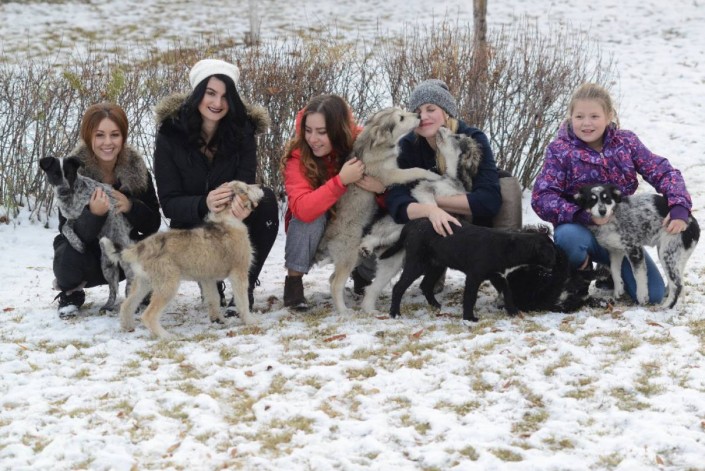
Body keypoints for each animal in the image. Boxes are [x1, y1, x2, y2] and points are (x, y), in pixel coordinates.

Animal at [40, 155, 133, 312]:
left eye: (70, 174)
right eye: (55, 175)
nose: (63, 190)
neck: (71, 199)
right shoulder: (71, 219)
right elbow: (65, 228)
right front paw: (77, 244)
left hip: (125, 261)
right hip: (107, 267)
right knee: (113, 288)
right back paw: (108, 305)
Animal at [100, 180, 263, 339]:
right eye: (245, 188)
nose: (261, 185)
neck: (225, 218)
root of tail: (141, 246)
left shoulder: (208, 279)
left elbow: (214, 298)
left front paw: (218, 320)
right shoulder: (239, 273)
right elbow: (242, 300)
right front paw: (249, 320)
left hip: (143, 282)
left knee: (127, 305)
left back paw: (127, 327)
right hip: (167, 285)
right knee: (148, 315)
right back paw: (166, 336)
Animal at [316, 107, 441, 314]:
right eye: (401, 118)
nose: (419, 116)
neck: (376, 144)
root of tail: (328, 237)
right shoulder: (390, 174)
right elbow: (414, 170)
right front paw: (431, 174)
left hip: (355, 257)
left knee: (332, 277)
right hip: (349, 256)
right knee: (335, 284)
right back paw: (344, 312)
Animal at [358, 126, 482, 313]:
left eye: (457, 137)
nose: (441, 127)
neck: (454, 179)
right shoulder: (423, 189)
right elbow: (433, 206)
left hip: (391, 262)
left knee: (373, 287)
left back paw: (369, 309)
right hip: (395, 227)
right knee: (374, 237)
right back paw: (366, 247)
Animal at [379, 219, 556, 321]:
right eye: (551, 252)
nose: (555, 264)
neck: (507, 246)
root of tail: (411, 225)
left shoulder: (496, 275)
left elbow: (507, 292)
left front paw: (513, 311)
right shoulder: (474, 276)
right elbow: (470, 297)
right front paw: (469, 318)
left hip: (436, 265)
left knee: (426, 285)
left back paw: (435, 305)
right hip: (417, 264)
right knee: (399, 287)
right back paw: (395, 313)